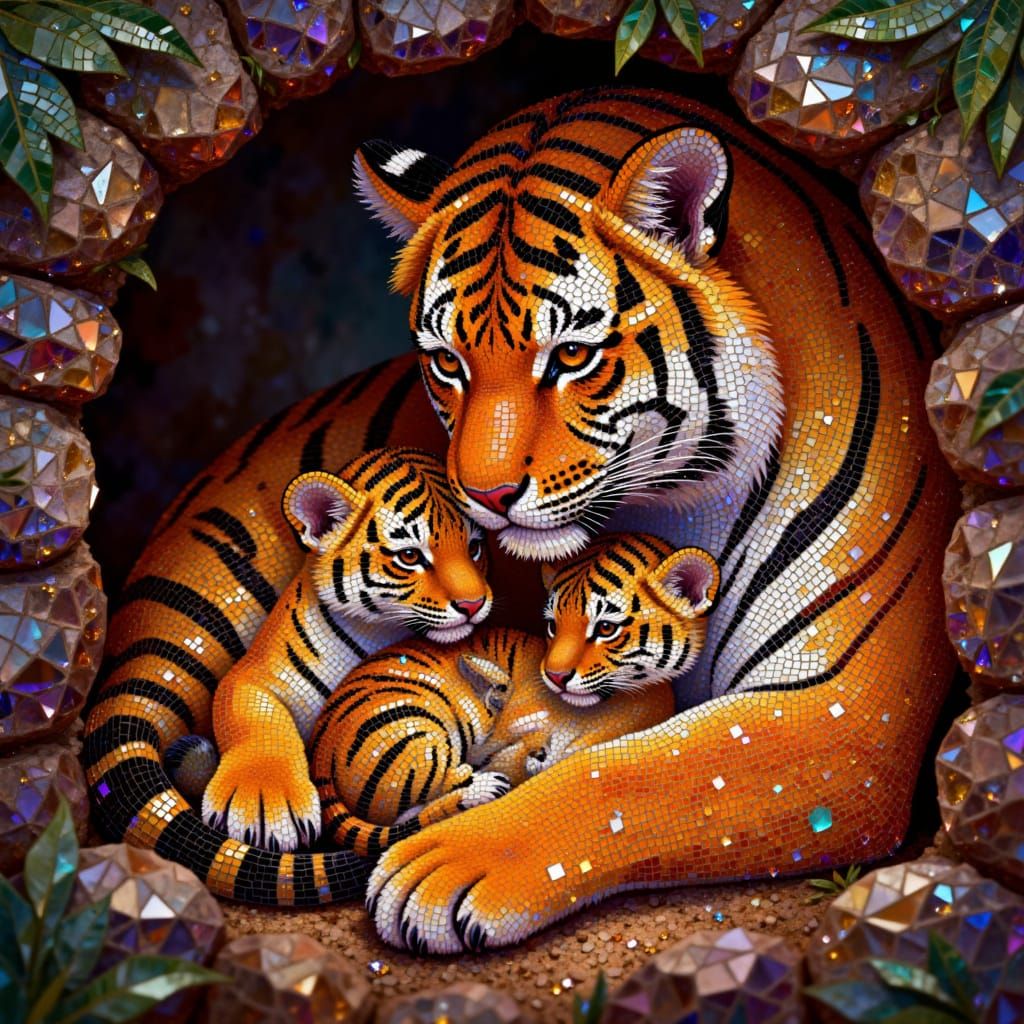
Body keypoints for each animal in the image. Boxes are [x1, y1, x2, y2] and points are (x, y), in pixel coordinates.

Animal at [84, 448, 491, 896]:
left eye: (474, 547)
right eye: (409, 556)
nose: (474, 604)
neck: (381, 630)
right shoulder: (252, 675)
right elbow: (256, 717)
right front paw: (265, 807)